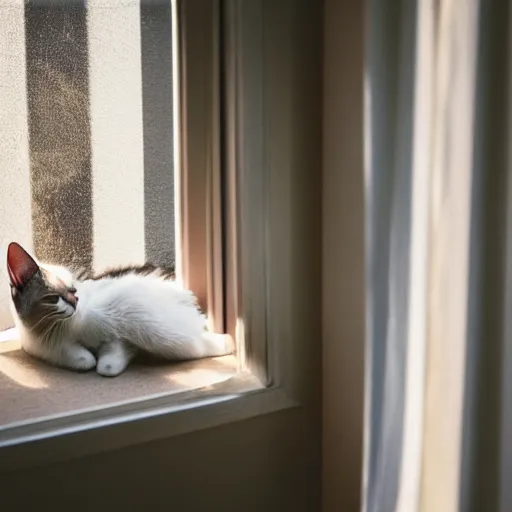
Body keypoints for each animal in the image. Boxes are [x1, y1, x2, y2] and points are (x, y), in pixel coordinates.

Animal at [5, 240, 234, 376]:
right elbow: (89, 361)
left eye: (74, 287)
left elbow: (108, 360)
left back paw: (226, 341)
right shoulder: (50, 349)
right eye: (54, 296)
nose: (76, 300)